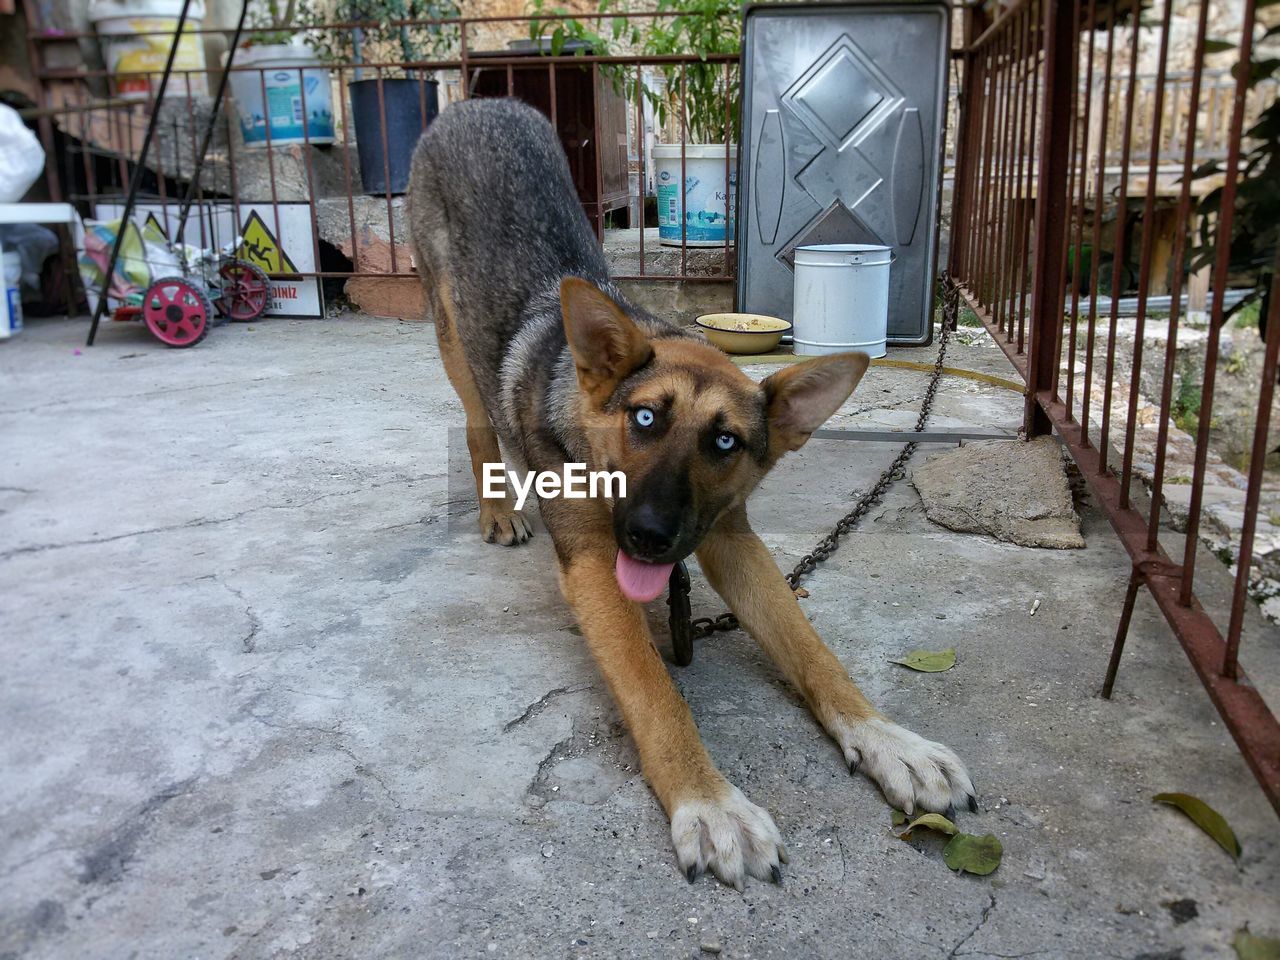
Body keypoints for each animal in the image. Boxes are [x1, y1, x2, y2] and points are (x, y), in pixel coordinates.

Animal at [407, 101, 967, 890]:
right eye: (645, 419)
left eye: (725, 443)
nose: (648, 538)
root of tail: (476, 104)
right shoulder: (596, 567)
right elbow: (654, 689)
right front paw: (709, 800)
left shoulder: (730, 539)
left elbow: (812, 650)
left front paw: (887, 738)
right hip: (452, 337)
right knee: (474, 421)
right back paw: (496, 509)